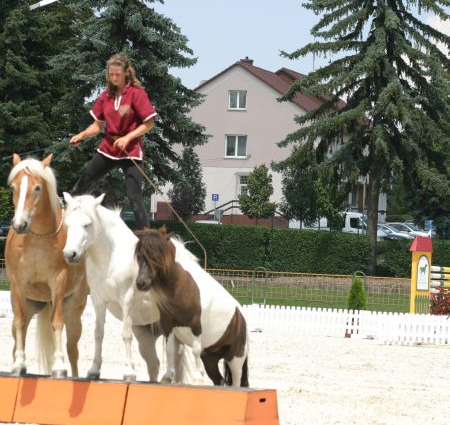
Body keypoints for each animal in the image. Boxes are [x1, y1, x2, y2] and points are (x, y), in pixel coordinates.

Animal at [5, 154, 88, 376]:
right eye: (14, 188)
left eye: (37, 188)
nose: (19, 225)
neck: (37, 240)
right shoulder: (17, 284)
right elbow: (19, 321)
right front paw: (19, 364)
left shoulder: (58, 282)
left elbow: (57, 322)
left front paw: (59, 367)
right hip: (31, 303)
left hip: (74, 311)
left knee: (73, 350)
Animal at [61, 193, 188, 380]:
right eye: (67, 224)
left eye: (87, 224)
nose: (70, 254)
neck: (111, 256)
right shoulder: (99, 301)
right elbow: (98, 333)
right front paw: (94, 370)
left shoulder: (126, 300)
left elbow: (126, 335)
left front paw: (129, 372)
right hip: (147, 336)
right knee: (156, 364)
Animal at [135, 227, 251, 386]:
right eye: (139, 255)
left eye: (156, 256)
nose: (141, 283)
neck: (183, 286)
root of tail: (241, 317)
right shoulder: (168, 326)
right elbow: (170, 350)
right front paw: (167, 377)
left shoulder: (196, 326)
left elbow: (195, 349)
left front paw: (197, 379)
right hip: (210, 360)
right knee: (220, 380)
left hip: (236, 359)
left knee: (236, 381)